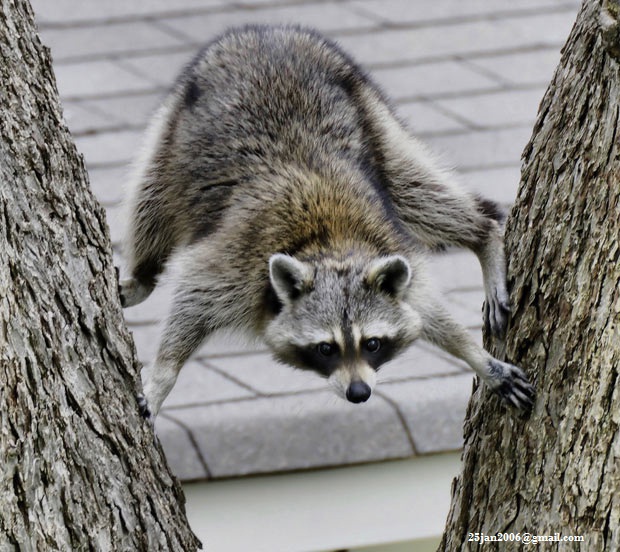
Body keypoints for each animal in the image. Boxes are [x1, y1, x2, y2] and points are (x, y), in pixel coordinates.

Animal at [120, 21, 532, 418]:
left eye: (372, 343)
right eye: (326, 348)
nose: (359, 393)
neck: (330, 246)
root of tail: (267, 33)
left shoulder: (388, 248)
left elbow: (428, 311)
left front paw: (476, 356)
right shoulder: (234, 263)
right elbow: (191, 299)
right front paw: (163, 376)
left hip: (371, 117)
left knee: (417, 193)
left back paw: (483, 230)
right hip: (173, 134)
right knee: (149, 204)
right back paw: (143, 275)